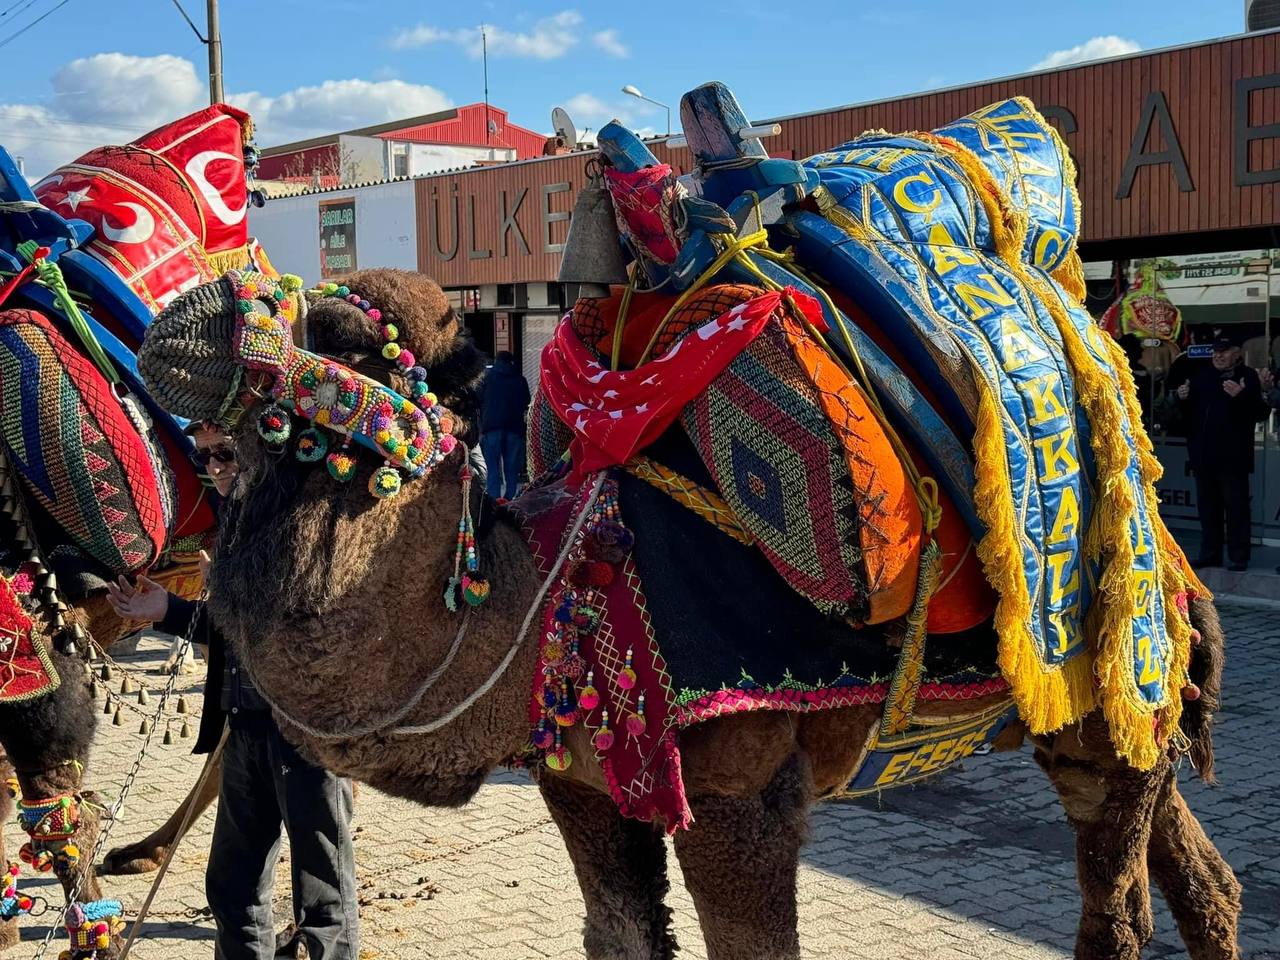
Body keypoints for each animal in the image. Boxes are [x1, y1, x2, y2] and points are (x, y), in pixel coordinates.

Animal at [135, 86, 1244, 957]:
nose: (185, 321)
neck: (553, 597)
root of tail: (1176, 571)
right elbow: (620, 934)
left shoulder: (736, 797)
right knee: (1203, 880)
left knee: (1117, 906)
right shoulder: (581, 786)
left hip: (1118, 693)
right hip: (1114, 716)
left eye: (360, 344)